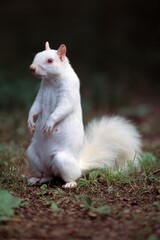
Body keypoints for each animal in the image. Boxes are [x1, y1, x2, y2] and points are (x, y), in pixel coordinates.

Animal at [26, 41, 142, 188]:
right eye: (37, 55)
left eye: (50, 60)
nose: (32, 68)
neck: (51, 81)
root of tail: (79, 165)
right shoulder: (41, 95)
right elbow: (35, 107)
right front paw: (30, 123)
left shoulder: (68, 92)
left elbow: (63, 108)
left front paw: (49, 124)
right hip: (32, 155)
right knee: (48, 175)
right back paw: (37, 179)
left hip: (62, 160)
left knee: (72, 176)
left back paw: (69, 184)